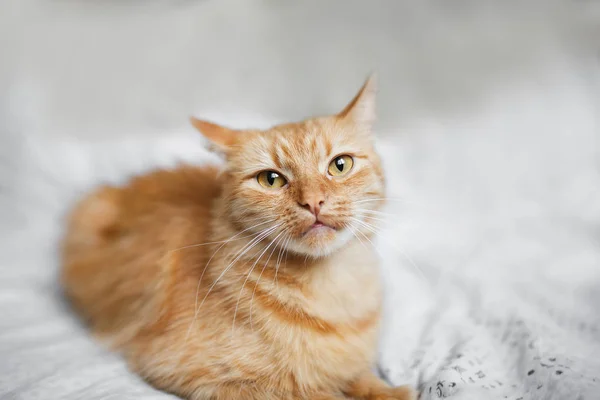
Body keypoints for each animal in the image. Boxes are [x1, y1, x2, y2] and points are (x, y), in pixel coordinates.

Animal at [62, 76, 418, 398]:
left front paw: (387, 391)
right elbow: (309, 392)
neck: (329, 288)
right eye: (271, 180)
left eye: (340, 165)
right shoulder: (196, 374)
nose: (314, 201)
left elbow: (366, 381)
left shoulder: (353, 365)